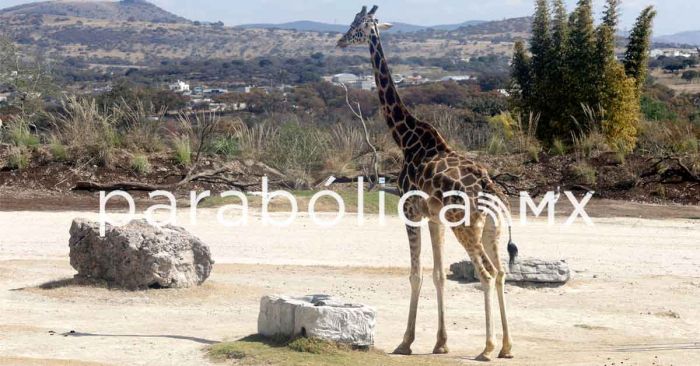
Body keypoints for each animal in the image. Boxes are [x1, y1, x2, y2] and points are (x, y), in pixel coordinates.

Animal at [340, 5, 516, 360]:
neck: (405, 138)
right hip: (490, 228)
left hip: (465, 225)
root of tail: (489, 188)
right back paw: (506, 346)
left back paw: (487, 348)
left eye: (357, 27)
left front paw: (406, 342)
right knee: (501, 272)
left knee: (486, 273)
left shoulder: (409, 211)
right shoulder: (434, 218)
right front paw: (440, 343)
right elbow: (438, 275)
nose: (339, 40)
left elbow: (415, 275)